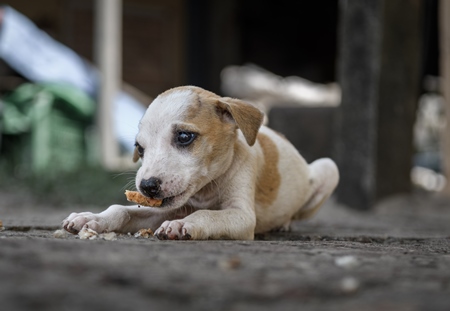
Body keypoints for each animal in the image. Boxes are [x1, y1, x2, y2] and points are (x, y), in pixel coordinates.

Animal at [62, 86, 338, 241]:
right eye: (139, 148)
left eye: (184, 136)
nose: (147, 187)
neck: (206, 190)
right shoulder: (169, 206)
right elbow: (122, 209)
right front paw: (90, 218)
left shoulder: (242, 215)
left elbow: (208, 215)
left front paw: (185, 224)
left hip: (329, 168)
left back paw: (284, 223)